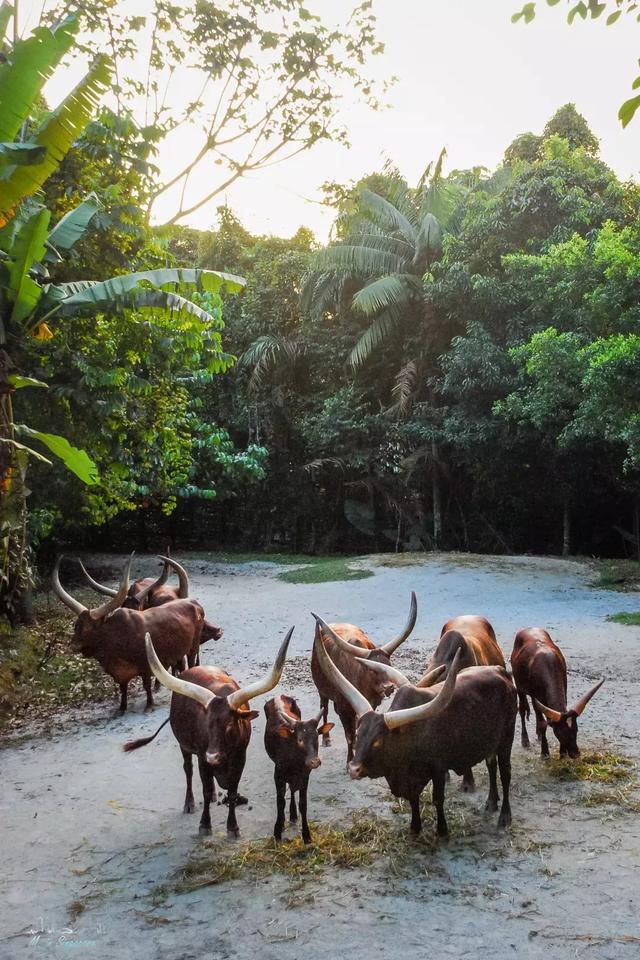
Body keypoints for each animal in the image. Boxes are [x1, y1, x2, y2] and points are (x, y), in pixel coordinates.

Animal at [52, 556, 211, 712]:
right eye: (76, 625)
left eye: (90, 627)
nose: (73, 646)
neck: (114, 636)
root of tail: (194, 603)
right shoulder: (120, 674)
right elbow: (123, 689)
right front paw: (122, 708)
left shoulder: (146, 666)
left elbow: (146, 686)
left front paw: (149, 704)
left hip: (193, 647)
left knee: (191, 662)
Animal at [122, 632, 292, 832]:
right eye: (206, 725)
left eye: (229, 725)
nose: (212, 756)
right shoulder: (202, 756)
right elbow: (203, 787)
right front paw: (204, 823)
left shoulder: (240, 758)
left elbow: (232, 790)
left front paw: (232, 826)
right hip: (185, 747)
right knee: (188, 770)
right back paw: (189, 803)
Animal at [264, 692, 336, 844]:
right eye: (300, 739)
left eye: (316, 737)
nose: (314, 762)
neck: (295, 762)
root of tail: (279, 695)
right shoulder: (278, 775)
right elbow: (280, 802)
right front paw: (277, 832)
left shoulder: (305, 776)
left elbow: (303, 804)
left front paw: (307, 836)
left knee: (292, 790)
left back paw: (293, 814)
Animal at [312, 592, 420, 764]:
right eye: (371, 669)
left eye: (389, 665)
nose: (389, 687)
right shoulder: (344, 708)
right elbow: (349, 735)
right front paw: (350, 760)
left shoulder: (369, 704)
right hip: (322, 689)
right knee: (325, 708)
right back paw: (326, 739)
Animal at [510, 628, 604, 760]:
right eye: (560, 733)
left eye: (576, 730)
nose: (575, 753)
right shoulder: (535, 697)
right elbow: (542, 724)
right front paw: (544, 752)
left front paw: (562, 753)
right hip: (520, 688)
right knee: (522, 710)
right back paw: (525, 740)